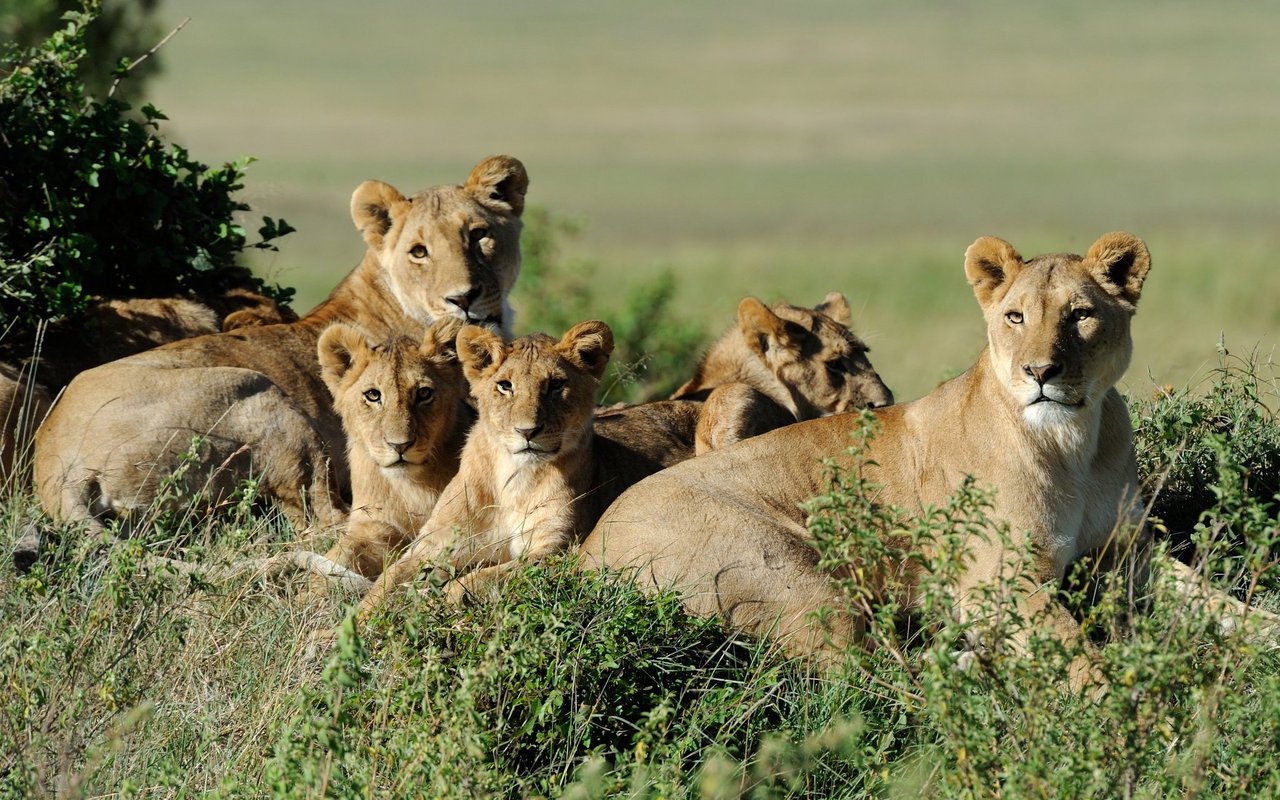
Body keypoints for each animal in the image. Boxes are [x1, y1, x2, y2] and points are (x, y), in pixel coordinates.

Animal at [35, 154, 527, 529]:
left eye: (479, 235)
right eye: (419, 252)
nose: (463, 298)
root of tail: (56, 468)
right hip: (264, 396)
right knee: (324, 520)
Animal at [312, 316, 473, 581]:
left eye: (424, 393)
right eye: (373, 395)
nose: (400, 445)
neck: (410, 488)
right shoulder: (374, 526)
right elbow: (335, 559)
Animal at [583, 232, 1162, 691]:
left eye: (1081, 315)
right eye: (1014, 317)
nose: (1040, 372)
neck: (1073, 443)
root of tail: (584, 555)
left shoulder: (1129, 550)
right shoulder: (997, 581)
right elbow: (1080, 659)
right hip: (798, 576)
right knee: (866, 682)